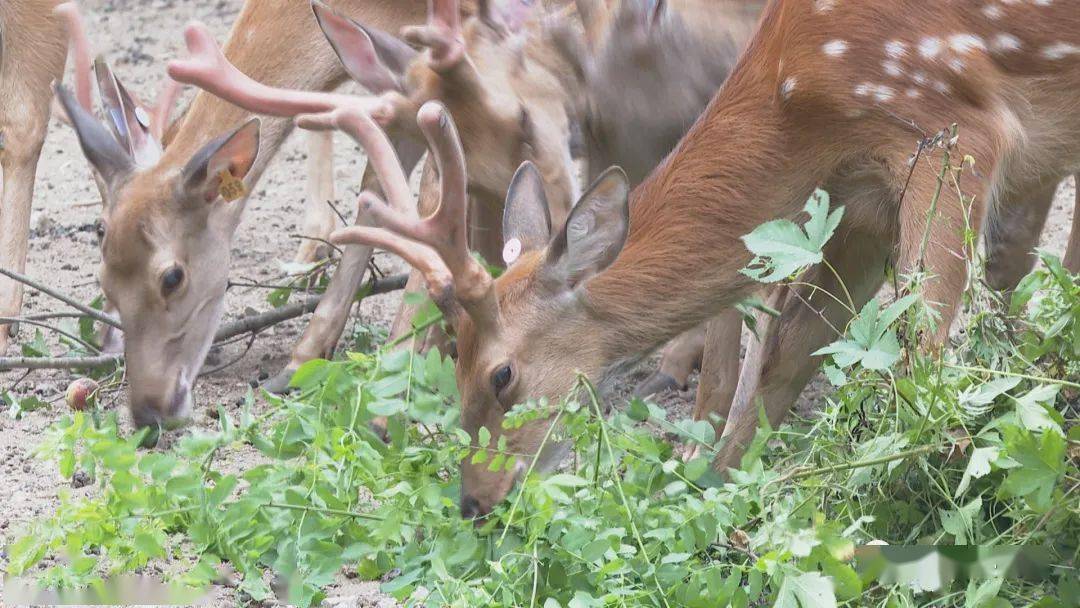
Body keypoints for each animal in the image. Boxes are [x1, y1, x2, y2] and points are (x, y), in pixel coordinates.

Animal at [317, 0, 1080, 518]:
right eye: (453, 356)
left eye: (501, 375)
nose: (474, 499)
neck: (801, 97)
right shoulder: (862, 198)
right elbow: (790, 352)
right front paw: (716, 498)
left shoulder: (954, 130)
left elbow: (922, 356)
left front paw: (912, 496)